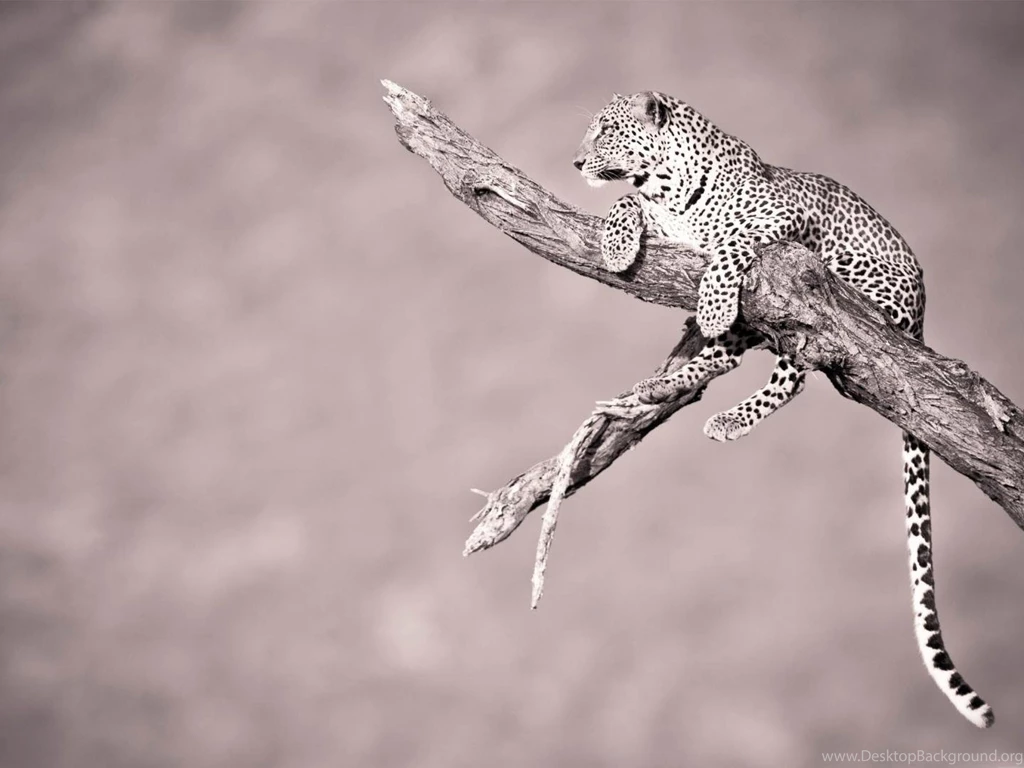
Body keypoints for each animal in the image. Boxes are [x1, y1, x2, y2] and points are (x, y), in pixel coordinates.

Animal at [573, 90, 994, 729]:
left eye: (606, 131)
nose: (575, 162)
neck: (666, 186)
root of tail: (922, 316)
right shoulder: (659, 214)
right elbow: (626, 201)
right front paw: (619, 246)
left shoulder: (777, 220)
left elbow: (728, 245)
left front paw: (711, 299)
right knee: (728, 359)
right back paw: (657, 387)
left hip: (829, 294)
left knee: (794, 371)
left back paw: (723, 407)